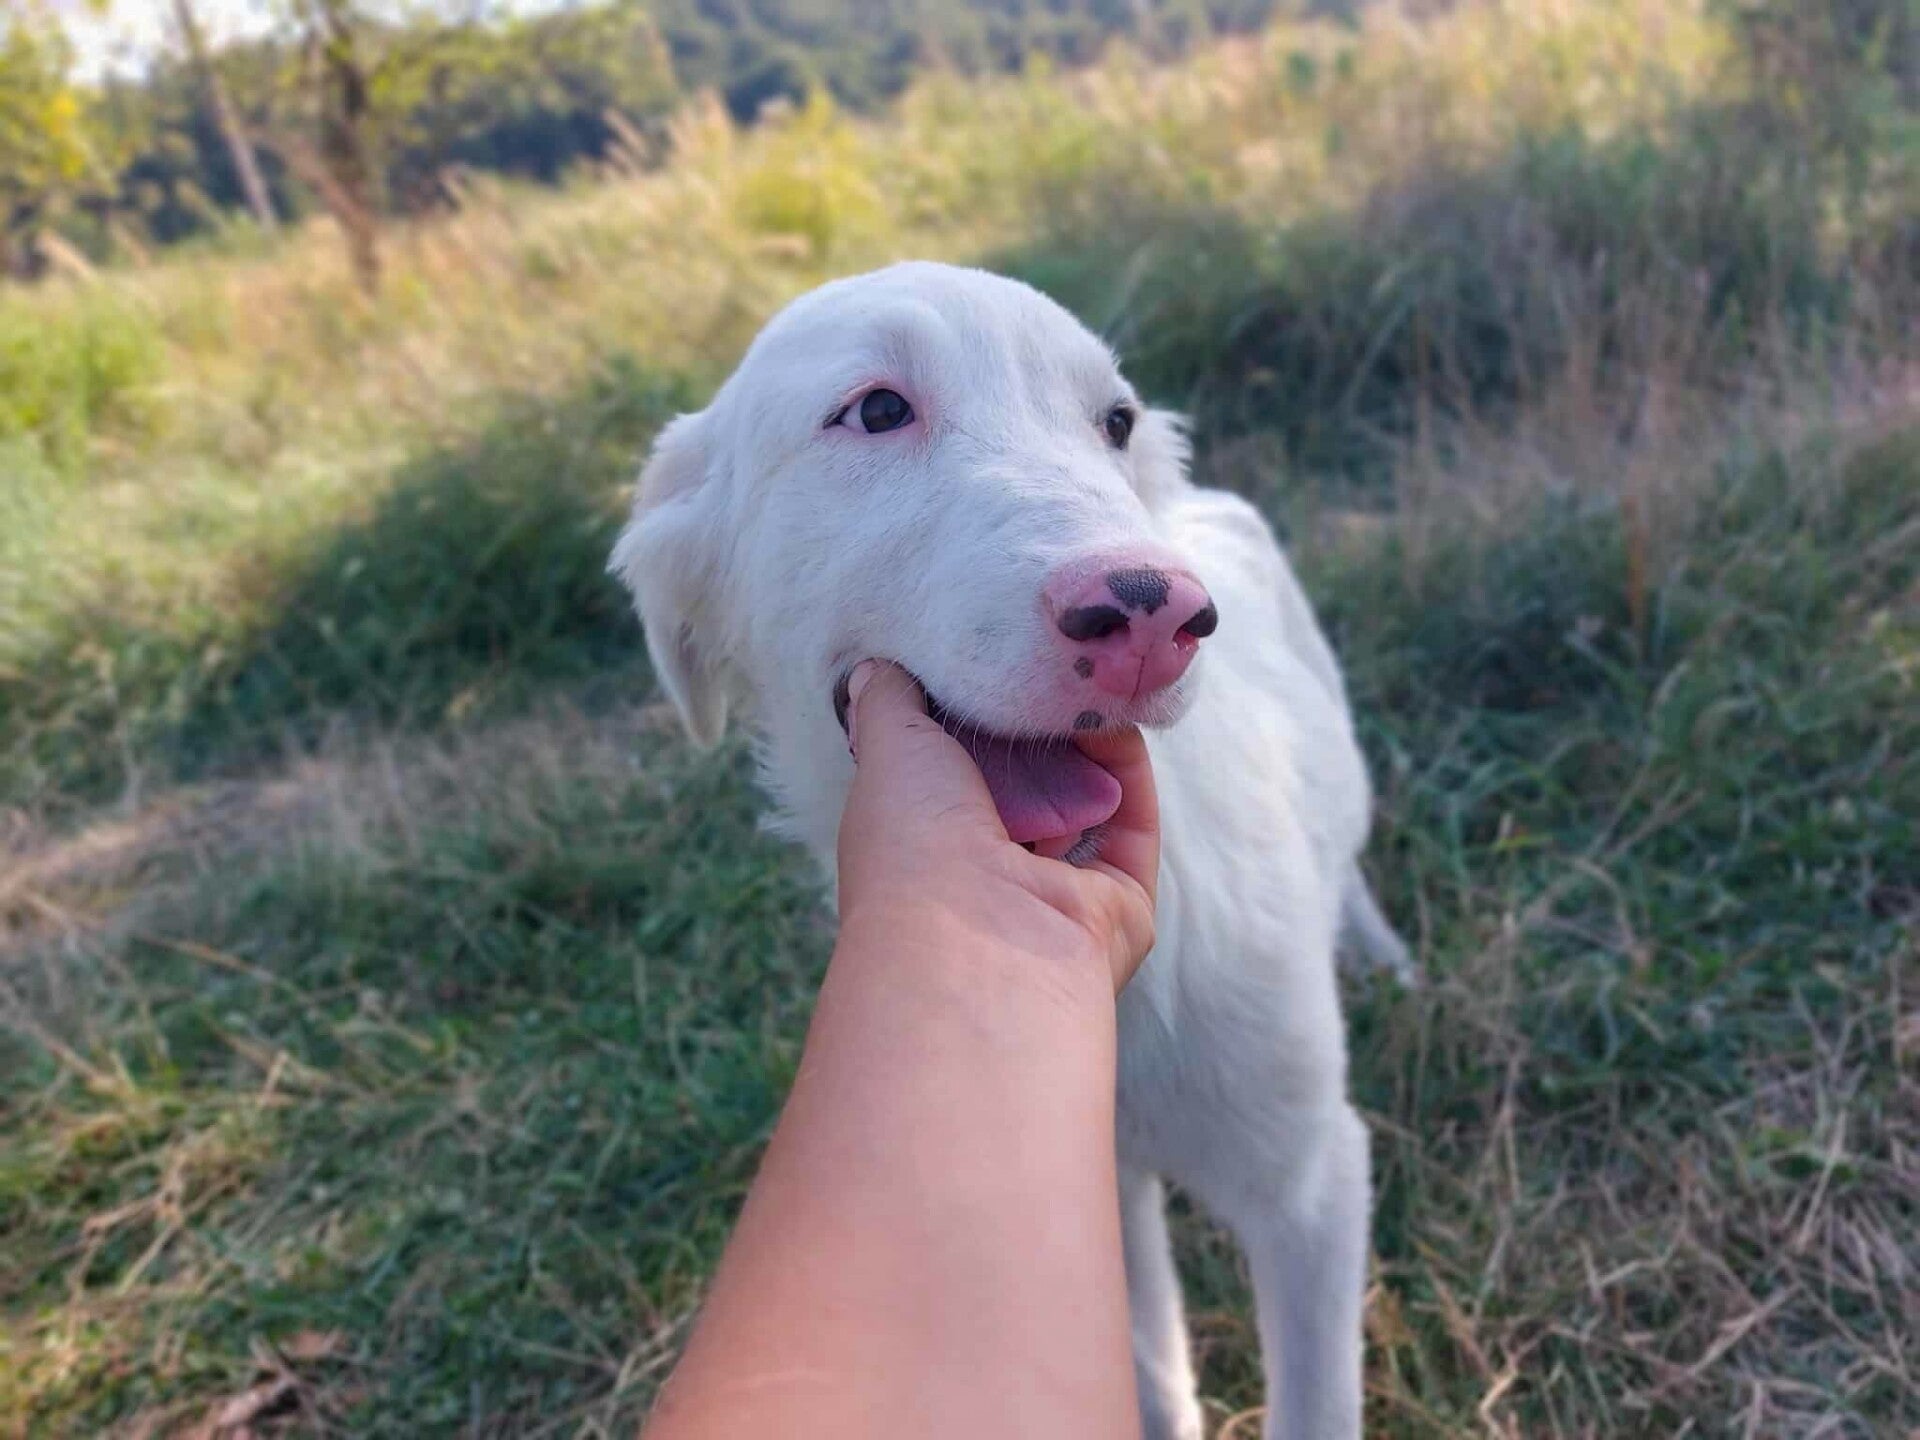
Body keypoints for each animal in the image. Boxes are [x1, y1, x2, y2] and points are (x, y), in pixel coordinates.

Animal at [612, 261, 1413, 1439]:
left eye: (1115, 422)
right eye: (878, 410)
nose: (1156, 614)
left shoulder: (1310, 1180)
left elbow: (1312, 1407)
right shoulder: (1088, 1197)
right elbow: (1148, 1378)